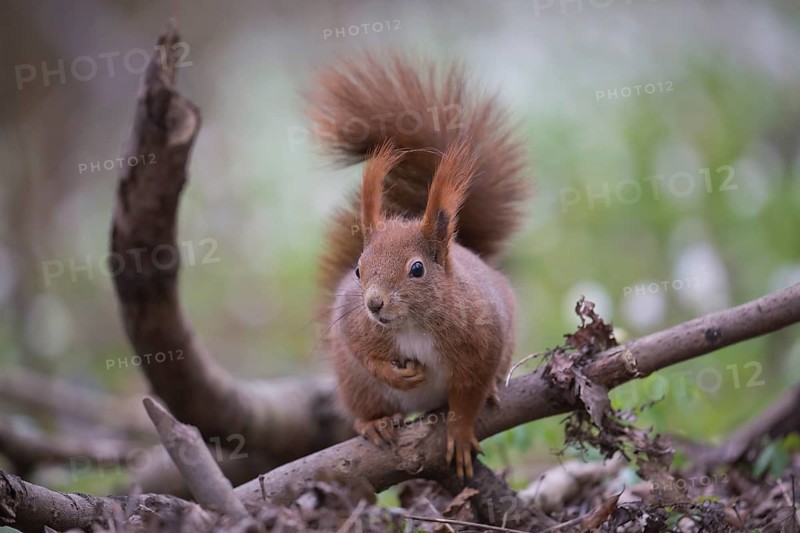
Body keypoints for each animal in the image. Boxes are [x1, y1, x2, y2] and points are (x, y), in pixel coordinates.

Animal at [309, 52, 530, 480]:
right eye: (358, 270)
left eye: (417, 270)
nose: (374, 304)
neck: (413, 324)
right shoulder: (353, 324)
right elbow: (364, 353)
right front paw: (394, 373)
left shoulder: (483, 342)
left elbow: (469, 395)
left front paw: (459, 432)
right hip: (352, 384)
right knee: (363, 400)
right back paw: (375, 422)